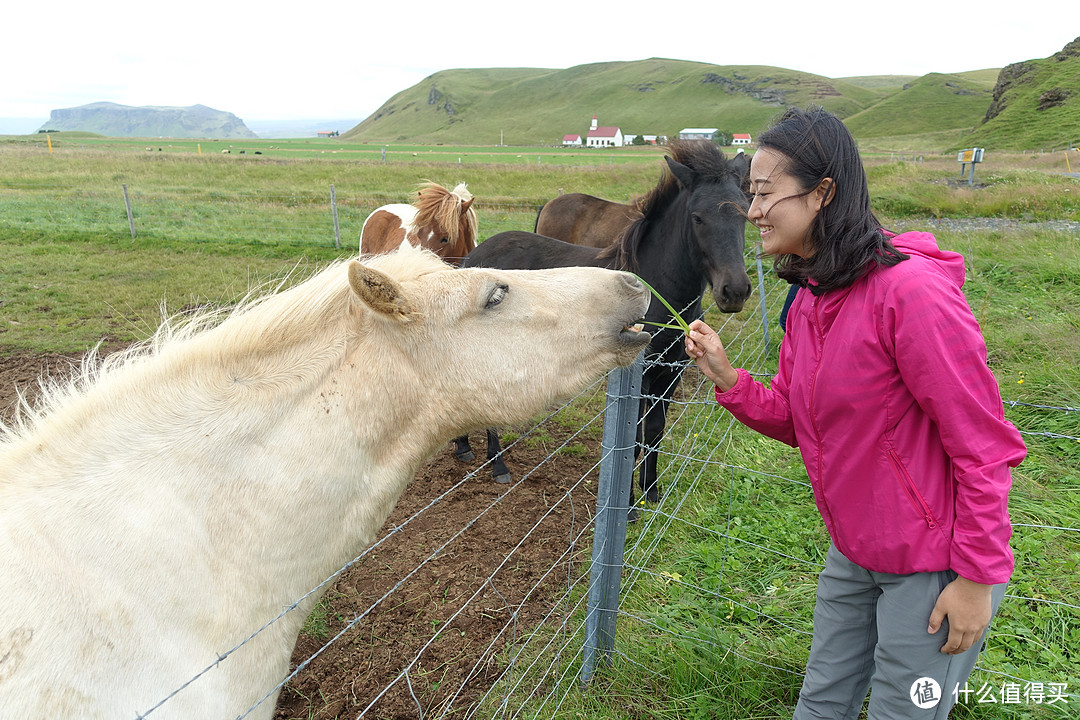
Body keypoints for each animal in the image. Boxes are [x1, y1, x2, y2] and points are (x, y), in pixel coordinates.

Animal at [451, 139, 747, 500]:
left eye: (745, 212)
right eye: (698, 218)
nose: (735, 290)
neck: (659, 289)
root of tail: (472, 257)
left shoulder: (670, 374)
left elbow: (654, 431)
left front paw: (651, 492)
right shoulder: (638, 375)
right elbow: (634, 438)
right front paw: (629, 504)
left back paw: (464, 446)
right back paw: (498, 464)